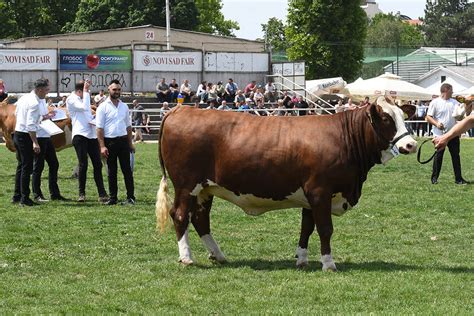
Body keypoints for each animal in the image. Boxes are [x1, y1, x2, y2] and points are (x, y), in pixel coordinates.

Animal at [155, 95, 414, 270]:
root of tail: (180, 110)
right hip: (187, 185)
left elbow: (306, 228)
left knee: (200, 219)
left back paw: (218, 255)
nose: (410, 144)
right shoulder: (320, 191)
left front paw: (302, 259)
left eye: (403, 117)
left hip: (205, 189)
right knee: (180, 215)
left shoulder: (310, 197)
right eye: (385, 118)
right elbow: (325, 229)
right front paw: (328, 263)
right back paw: (187, 257)